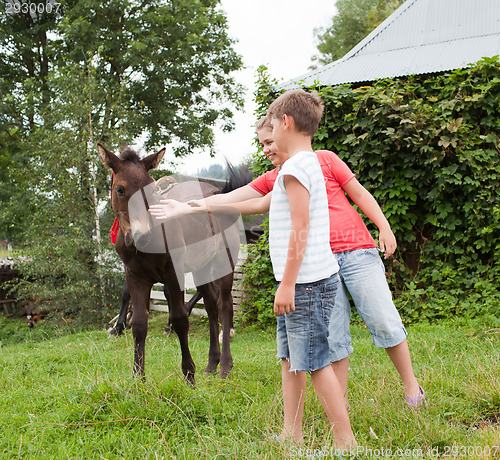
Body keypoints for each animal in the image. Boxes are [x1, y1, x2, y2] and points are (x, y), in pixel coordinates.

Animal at [97, 142, 242, 382]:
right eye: (120, 189)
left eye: (152, 189)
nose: (141, 236)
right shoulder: (135, 276)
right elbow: (139, 323)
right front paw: (138, 378)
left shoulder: (173, 273)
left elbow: (180, 319)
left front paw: (189, 375)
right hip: (201, 267)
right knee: (211, 306)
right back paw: (212, 364)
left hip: (224, 262)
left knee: (225, 306)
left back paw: (225, 366)